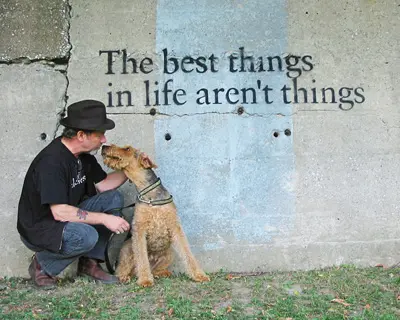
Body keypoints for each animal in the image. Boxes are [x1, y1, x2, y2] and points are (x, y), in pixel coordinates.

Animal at [101, 144, 211, 286]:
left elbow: (187, 253)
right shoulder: (139, 228)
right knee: (123, 269)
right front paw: (145, 280)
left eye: (127, 149)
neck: (150, 194)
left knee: (154, 269)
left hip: (169, 254)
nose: (104, 146)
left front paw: (199, 275)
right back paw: (125, 277)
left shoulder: (174, 226)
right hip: (127, 250)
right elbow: (141, 258)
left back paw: (161, 274)